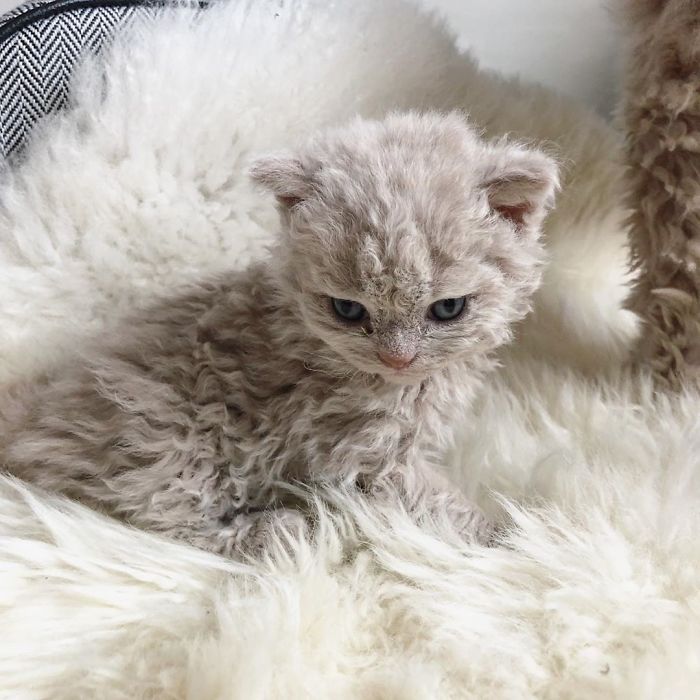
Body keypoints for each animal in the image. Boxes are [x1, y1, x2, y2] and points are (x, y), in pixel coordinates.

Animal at [0, 112, 556, 556]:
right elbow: (432, 499)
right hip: (173, 438)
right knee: (163, 515)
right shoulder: (359, 453)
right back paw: (281, 529)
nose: (396, 358)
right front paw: (508, 535)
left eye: (448, 308)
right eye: (347, 310)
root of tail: (31, 417)